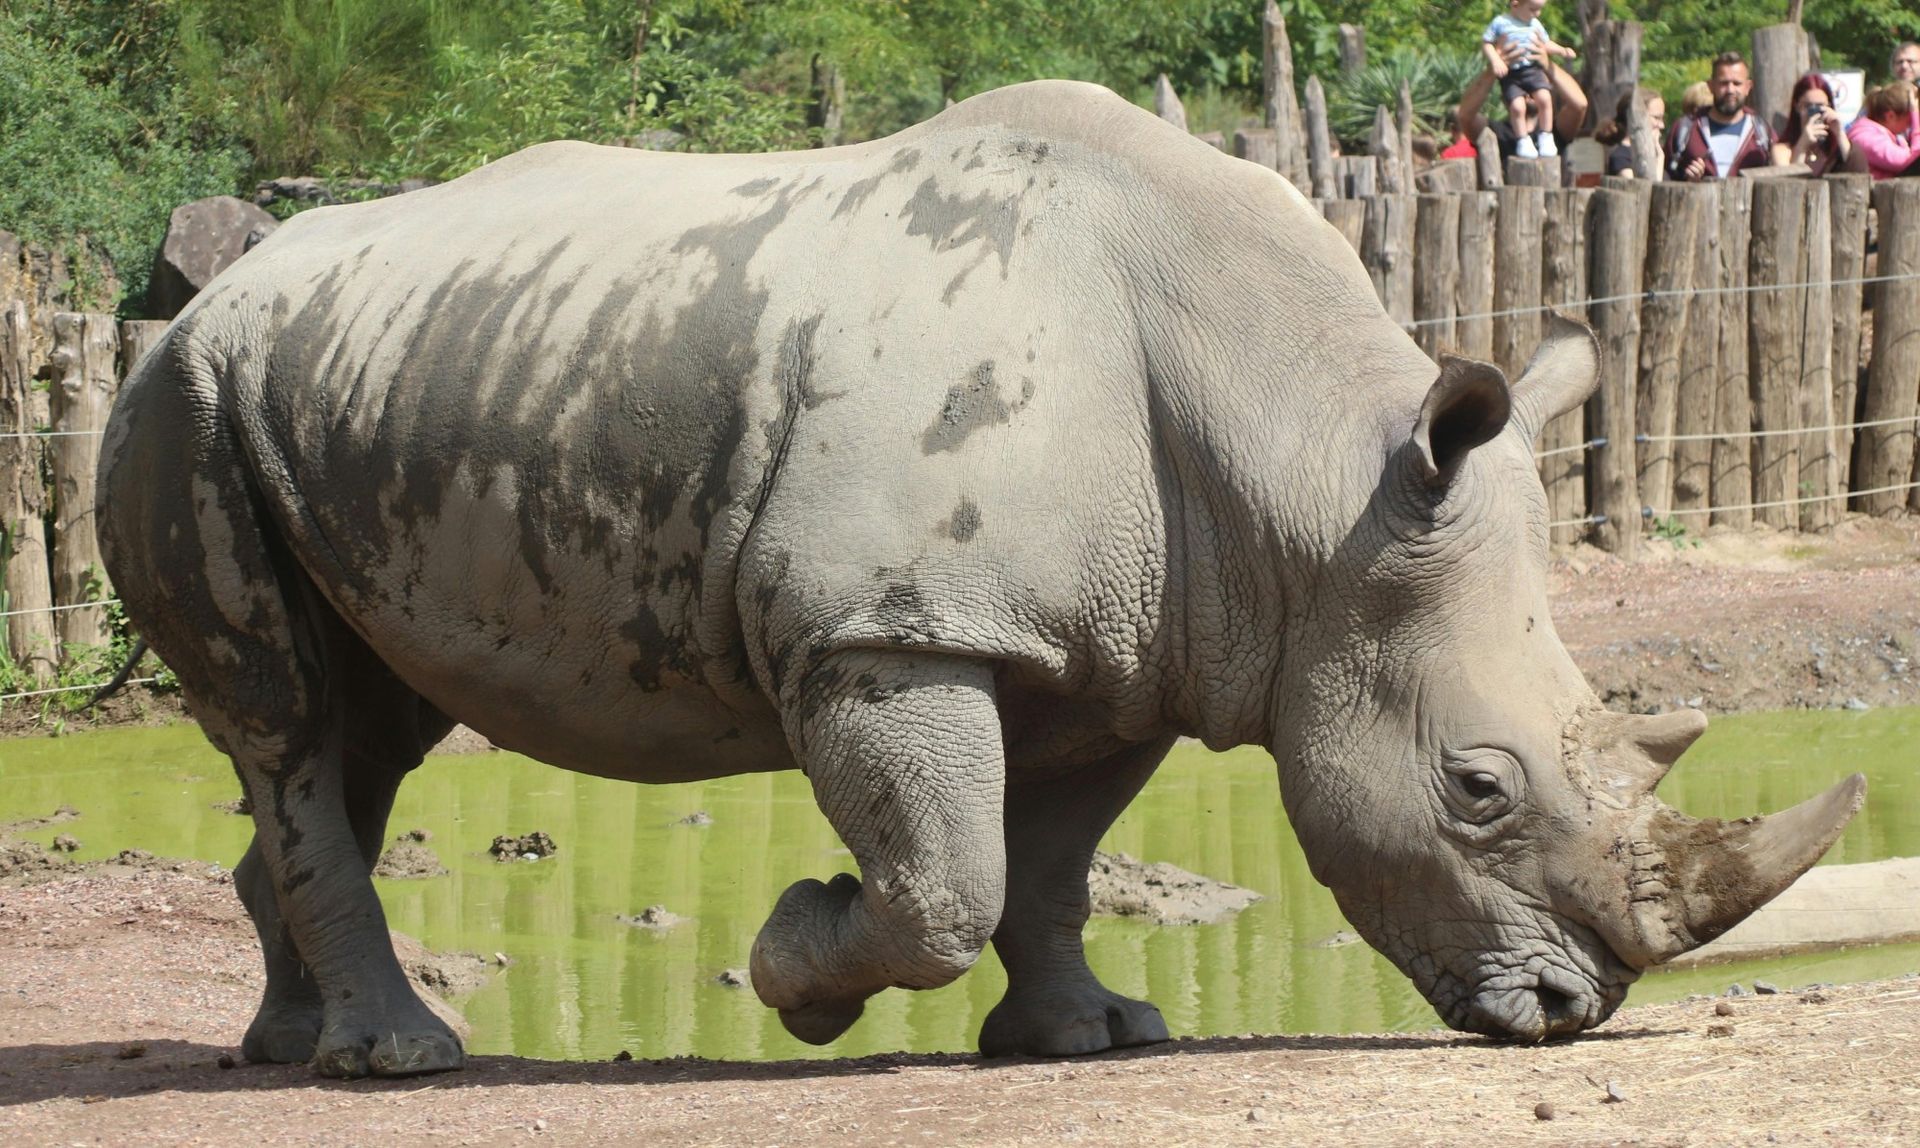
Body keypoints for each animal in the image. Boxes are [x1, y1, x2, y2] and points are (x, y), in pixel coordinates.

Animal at [97, 81, 1863, 1078]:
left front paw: (1085, 1038)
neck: (1307, 479)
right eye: (1479, 790)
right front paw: (793, 969)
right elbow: (948, 879)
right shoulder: (887, 631)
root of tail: (199, 295)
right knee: (288, 718)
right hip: (185, 403)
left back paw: (287, 1051)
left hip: (357, 383)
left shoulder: (1137, 648)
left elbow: (1050, 864)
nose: (1576, 1017)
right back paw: (401, 1063)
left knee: (362, 728)